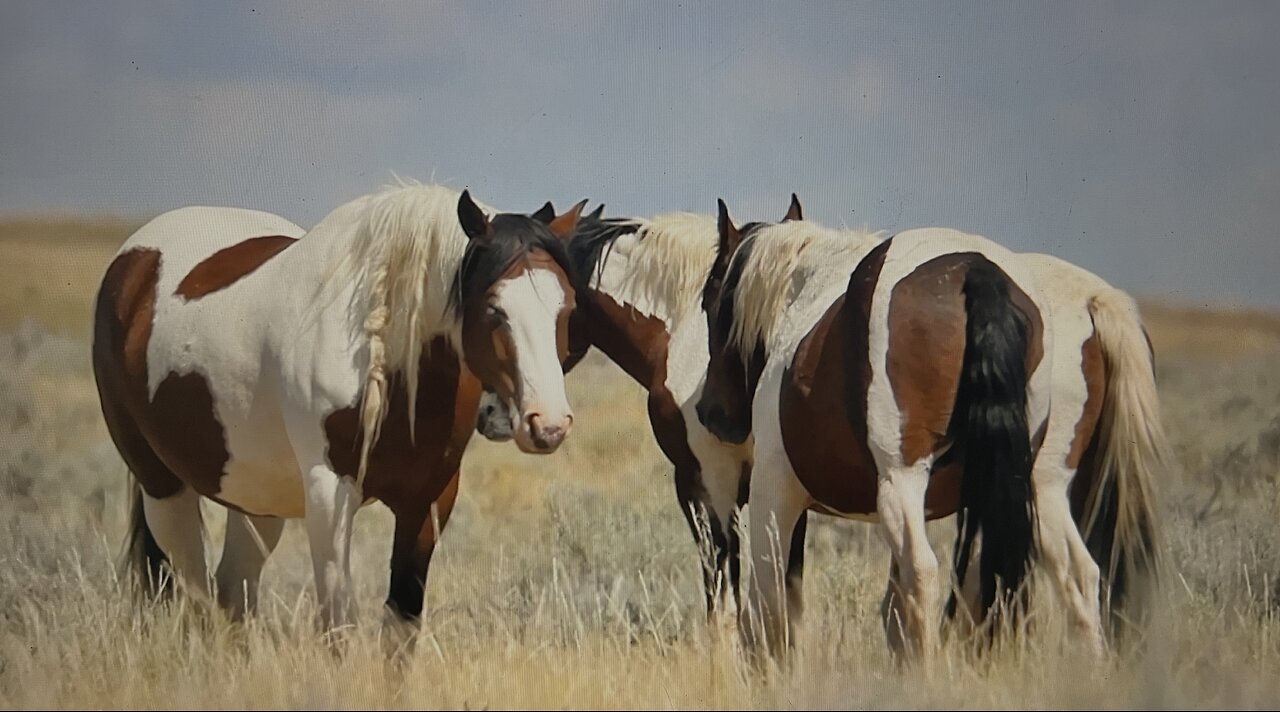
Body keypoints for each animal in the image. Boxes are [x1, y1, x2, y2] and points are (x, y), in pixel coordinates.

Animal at [92, 180, 583, 632]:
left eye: (567, 308)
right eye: (494, 309)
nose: (548, 423)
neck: (381, 348)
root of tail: (132, 264)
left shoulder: (428, 499)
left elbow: (401, 624)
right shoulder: (329, 495)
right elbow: (338, 625)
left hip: (256, 499)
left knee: (232, 593)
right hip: (163, 487)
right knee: (194, 597)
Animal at [701, 197, 1049, 660]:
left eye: (709, 300)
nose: (710, 413)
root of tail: (974, 270)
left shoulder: (773, 492)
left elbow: (768, 606)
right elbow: (894, 614)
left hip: (900, 483)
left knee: (923, 573)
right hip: (989, 490)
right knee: (978, 584)